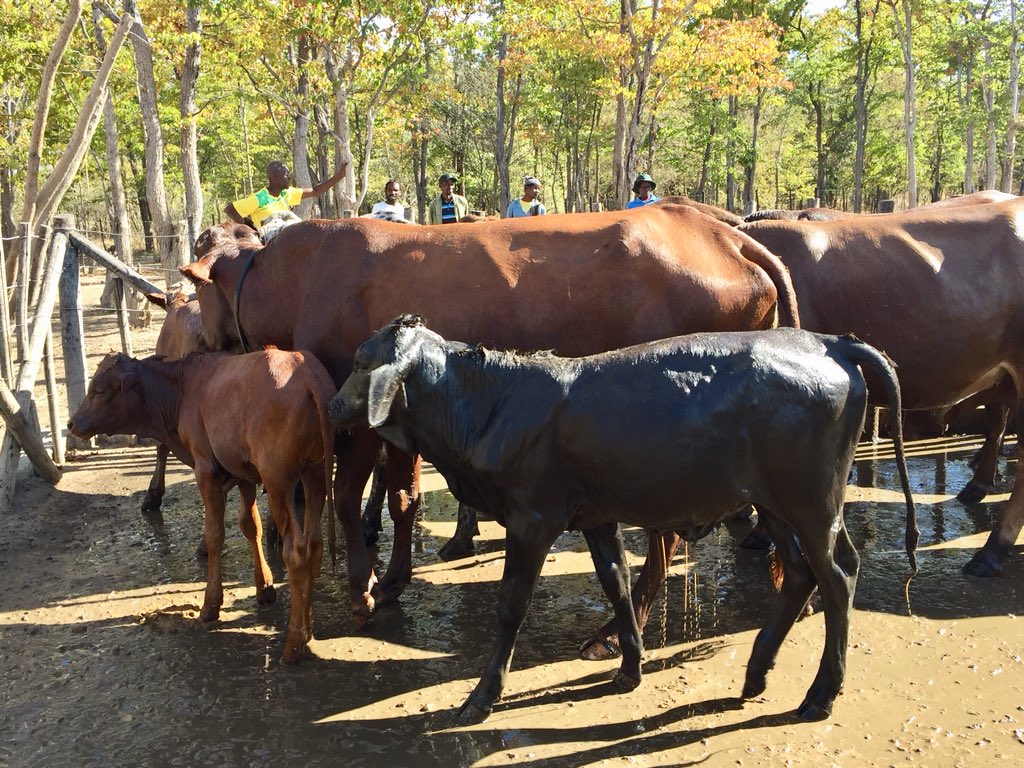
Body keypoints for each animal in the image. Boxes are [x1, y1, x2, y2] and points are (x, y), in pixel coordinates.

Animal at [67, 349, 336, 663]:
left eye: (99, 389)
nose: (71, 424)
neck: (184, 388)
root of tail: (305, 372)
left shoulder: (206, 470)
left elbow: (215, 535)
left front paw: (210, 605)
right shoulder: (243, 472)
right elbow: (250, 526)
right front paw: (265, 586)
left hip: (279, 478)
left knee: (296, 551)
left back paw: (294, 642)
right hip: (314, 471)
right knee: (314, 544)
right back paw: (308, 630)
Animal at [179, 204, 800, 625]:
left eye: (196, 292)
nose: (196, 341)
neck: (298, 279)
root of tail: (723, 233)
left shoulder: (355, 422)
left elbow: (351, 498)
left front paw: (361, 585)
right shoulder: (400, 423)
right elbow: (402, 498)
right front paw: (395, 578)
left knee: (665, 537)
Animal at [328, 315, 918, 723]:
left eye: (360, 362)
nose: (332, 407)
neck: (493, 405)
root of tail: (827, 340)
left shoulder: (531, 519)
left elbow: (511, 606)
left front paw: (482, 696)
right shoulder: (597, 517)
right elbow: (616, 582)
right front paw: (629, 667)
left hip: (812, 504)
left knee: (837, 578)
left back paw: (820, 695)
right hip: (773, 505)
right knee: (799, 574)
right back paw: (756, 674)